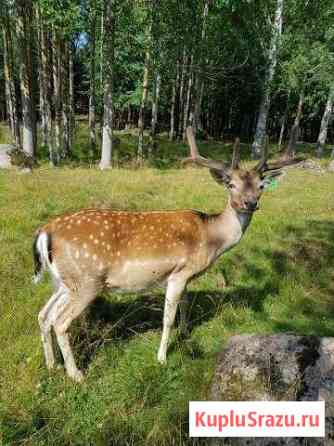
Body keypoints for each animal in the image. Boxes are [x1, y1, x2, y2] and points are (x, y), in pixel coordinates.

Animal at [33, 128, 300, 380]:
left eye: (261, 186)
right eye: (230, 184)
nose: (249, 203)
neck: (211, 238)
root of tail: (45, 231)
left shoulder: (187, 276)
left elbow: (184, 305)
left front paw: (184, 333)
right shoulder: (178, 274)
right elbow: (167, 318)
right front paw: (162, 358)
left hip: (63, 281)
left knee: (44, 315)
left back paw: (52, 365)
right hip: (87, 280)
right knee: (60, 322)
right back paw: (75, 374)